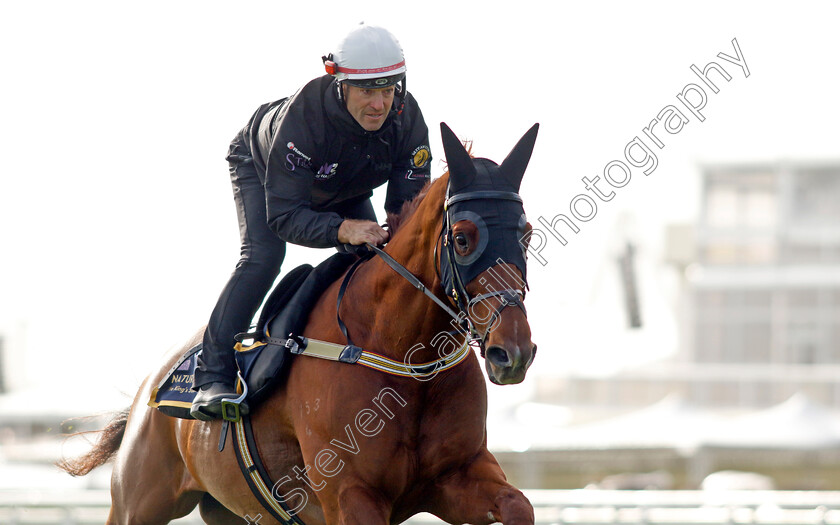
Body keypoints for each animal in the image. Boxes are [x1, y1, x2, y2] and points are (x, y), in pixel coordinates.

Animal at [62, 123, 540, 524]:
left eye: (527, 234)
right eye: (462, 238)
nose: (513, 352)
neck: (401, 354)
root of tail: (150, 388)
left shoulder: (457, 475)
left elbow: (519, 505)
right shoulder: (350, 494)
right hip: (137, 503)